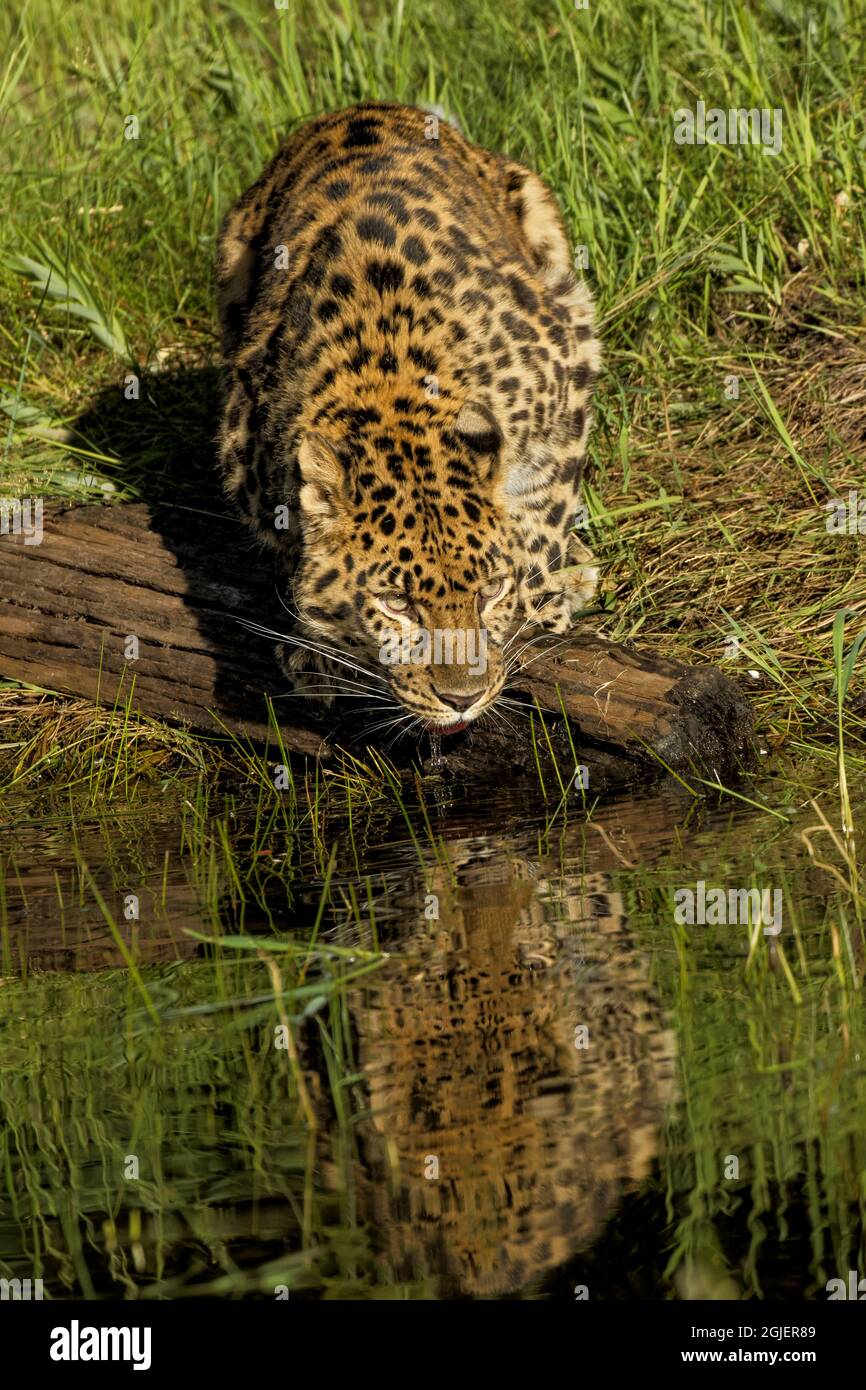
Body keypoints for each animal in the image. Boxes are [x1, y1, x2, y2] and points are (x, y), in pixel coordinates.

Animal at [216, 102, 601, 737]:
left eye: (489, 592)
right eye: (397, 604)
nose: (463, 697)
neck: (391, 383)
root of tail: (359, 107)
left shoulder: (567, 363)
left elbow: (542, 524)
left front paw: (541, 612)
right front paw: (314, 652)